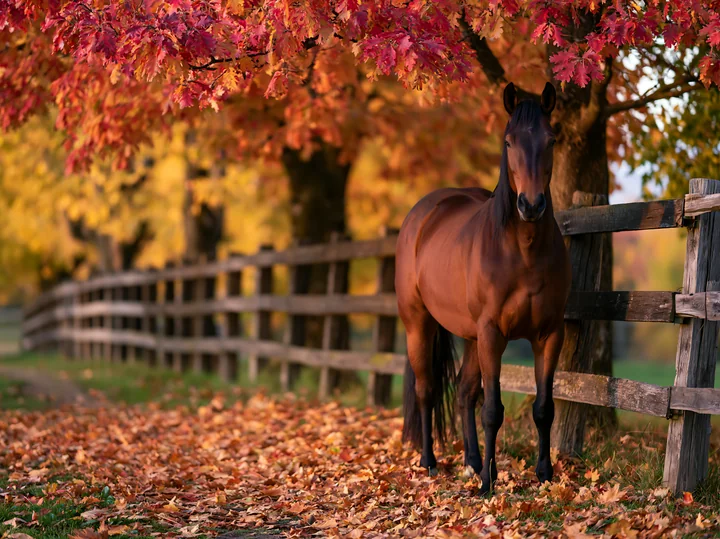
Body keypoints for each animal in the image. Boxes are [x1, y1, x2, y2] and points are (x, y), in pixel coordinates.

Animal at [396, 82, 571, 495]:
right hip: (420, 325)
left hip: (471, 336)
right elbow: (492, 410)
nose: (531, 205)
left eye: (551, 139)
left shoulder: (549, 335)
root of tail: (423, 212)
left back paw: (472, 463)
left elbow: (544, 408)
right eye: (508, 141)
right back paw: (429, 462)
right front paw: (489, 484)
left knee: (463, 392)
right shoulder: (494, 334)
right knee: (427, 390)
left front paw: (544, 475)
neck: (522, 252)